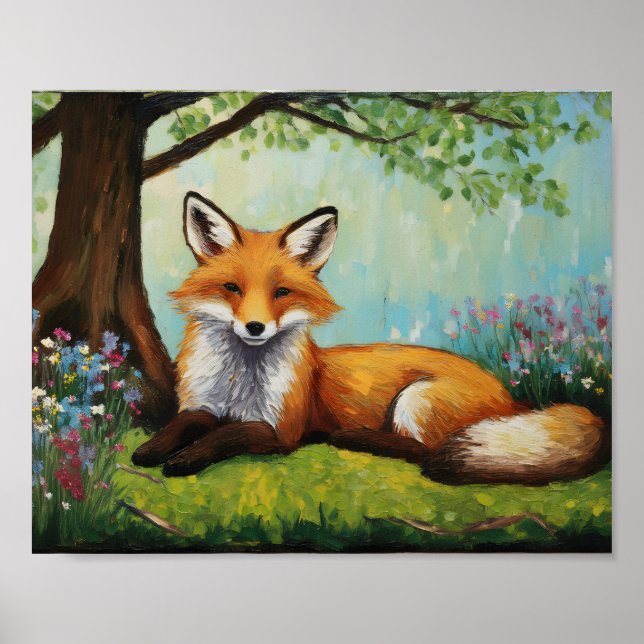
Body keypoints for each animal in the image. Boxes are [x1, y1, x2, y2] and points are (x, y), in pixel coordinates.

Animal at [132, 191, 608, 484]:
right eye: (232, 288)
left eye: (280, 293)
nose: (255, 327)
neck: (238, 381)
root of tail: (513, 400)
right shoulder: (202, 403)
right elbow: (185, 424)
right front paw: (152, 450)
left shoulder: (281, 430)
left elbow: (224, 436)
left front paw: (184, 459)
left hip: (417, 400)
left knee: (423, 451)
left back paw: (357, 438)